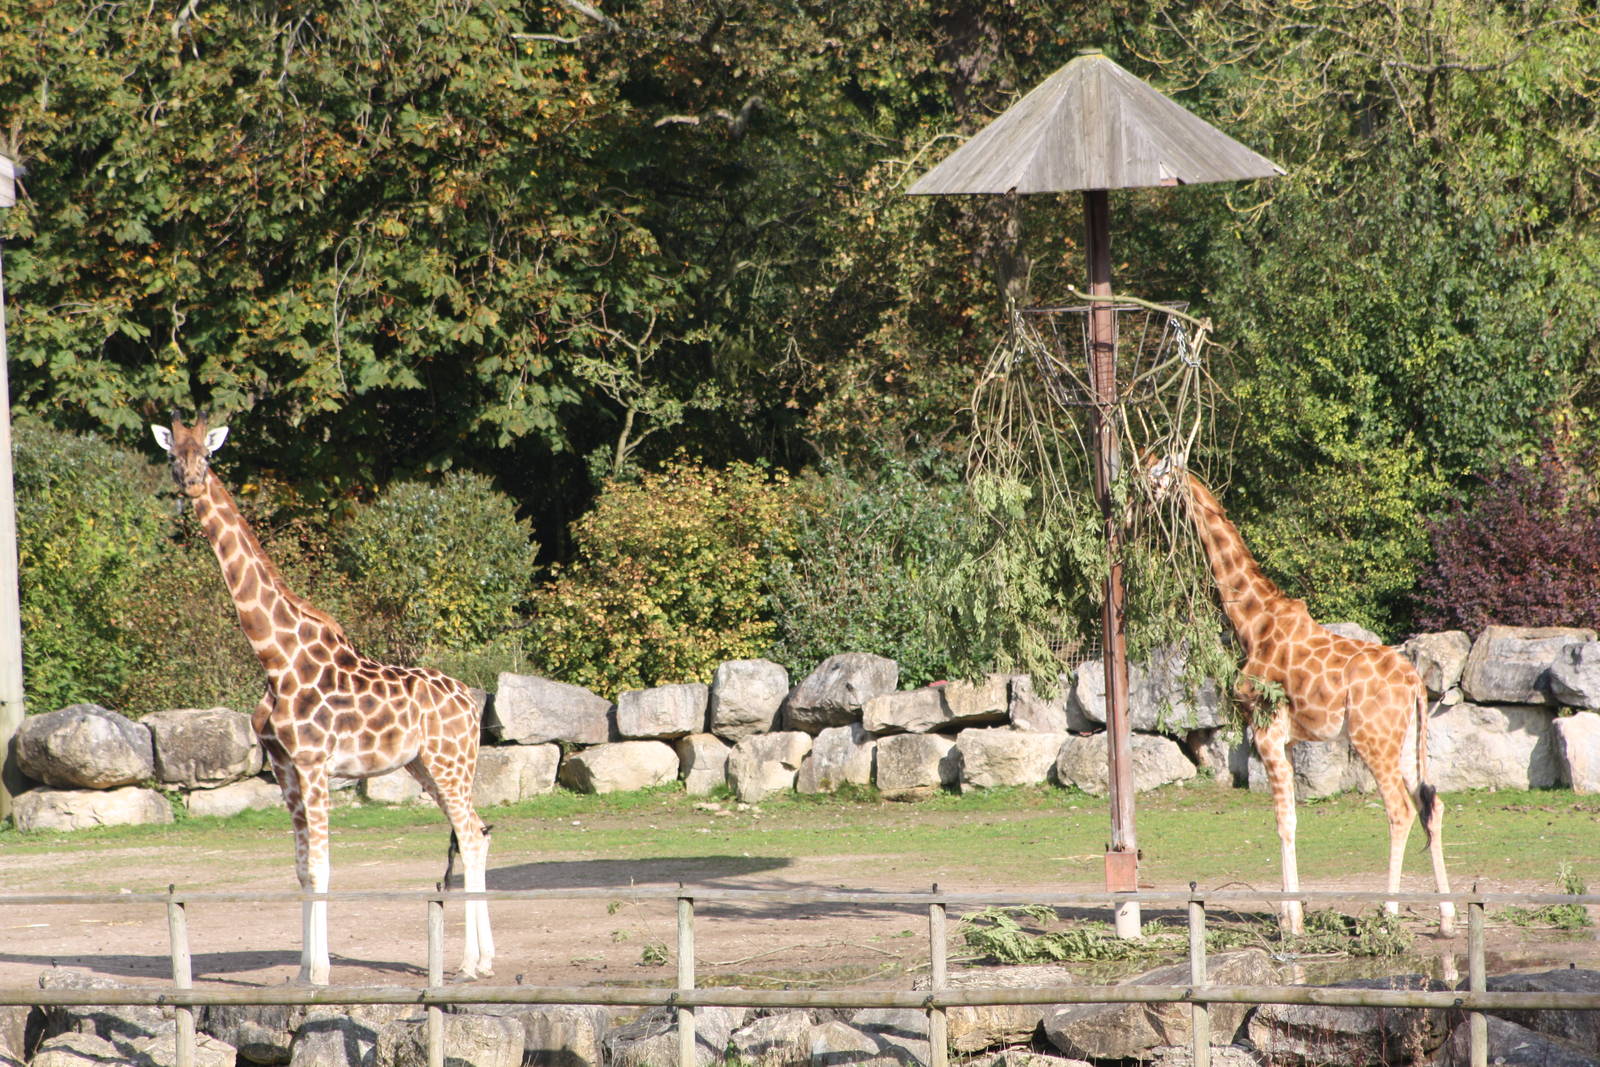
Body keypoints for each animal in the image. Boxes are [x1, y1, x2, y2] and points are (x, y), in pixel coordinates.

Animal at [152, 414, 494, 983]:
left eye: (208, 453)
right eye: (174, 455)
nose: (193, 482)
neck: (276, 658)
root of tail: (470, 701)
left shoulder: (314, 764)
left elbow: (321, 864)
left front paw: (319, 973)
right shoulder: (285, 768)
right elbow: (300, 867)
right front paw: (300, 972)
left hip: (449, 762)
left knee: (469, 834)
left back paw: (469, 964)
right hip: (427, 765)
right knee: (477, 833)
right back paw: (486, 960)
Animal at [1147, 455, 1455, 936]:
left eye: (1158, 470)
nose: (1138, 486)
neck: (1253, 622)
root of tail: (1414, 683)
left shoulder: (1266, 730)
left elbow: (1283, 820)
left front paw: (1292, 922)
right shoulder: (1288, 739)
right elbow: (1292, 816)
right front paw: (1293, 914)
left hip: (1373, 739)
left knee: (1400, 811)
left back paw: (1387, 916)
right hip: (1406, 741)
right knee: (1431, 805)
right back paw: (1446, 918)